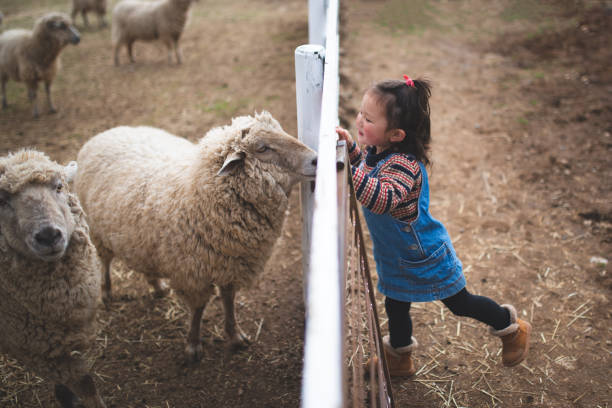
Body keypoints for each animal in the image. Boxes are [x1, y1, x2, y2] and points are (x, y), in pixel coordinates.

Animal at [0, 150, 106, 408]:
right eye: (2, 200)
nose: (48, 235)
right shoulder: (32, 346)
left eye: (58, 186)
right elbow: (85, 384)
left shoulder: (54, 343)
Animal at [74, 110, 318, 362]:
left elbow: (228, 301)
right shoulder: (193, 272)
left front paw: (235, 335)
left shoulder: (231, 264)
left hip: (143, 241)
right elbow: (198, 309)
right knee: (104, 261)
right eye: (262, 148)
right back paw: (106, 292)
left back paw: (158, 287)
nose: (315, 159)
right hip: (98, 231)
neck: (202, 194)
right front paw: (193, 345)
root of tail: (104, 133)